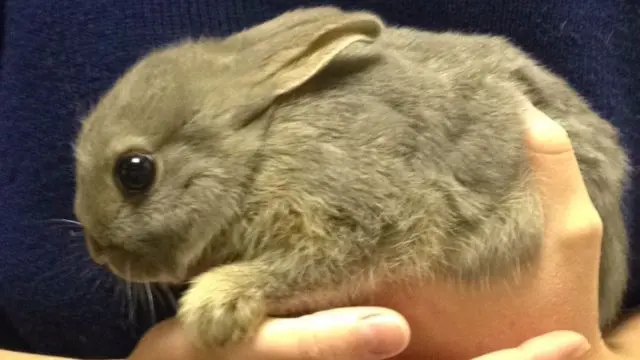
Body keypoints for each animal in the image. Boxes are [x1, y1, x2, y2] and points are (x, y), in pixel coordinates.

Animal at [75, 4, 632, 348]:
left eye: (134, 171)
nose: (98, 251)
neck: (256, 153)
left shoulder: (358, 218)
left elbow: (304, 268)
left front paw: (213, 310)